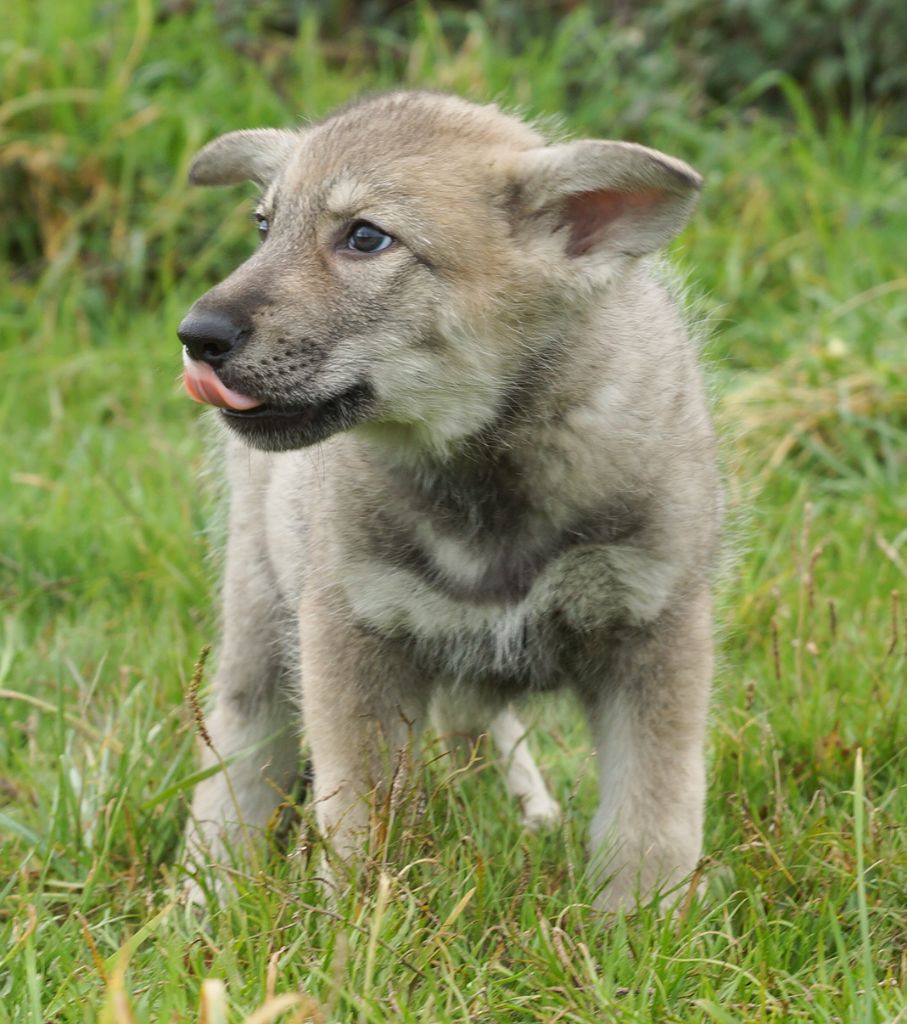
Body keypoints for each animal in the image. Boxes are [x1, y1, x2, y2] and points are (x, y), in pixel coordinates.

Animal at [176, 90, 721, 912]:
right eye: (265, 227)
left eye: (366, 237)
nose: (195, 335)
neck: (483, 481)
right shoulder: (352, 636)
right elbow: (357, 823)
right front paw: (356, 927)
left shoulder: (652, 627)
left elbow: (651, 820)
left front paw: (640, 930)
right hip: (259, 613)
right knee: (240, 756)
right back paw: (204, 896)